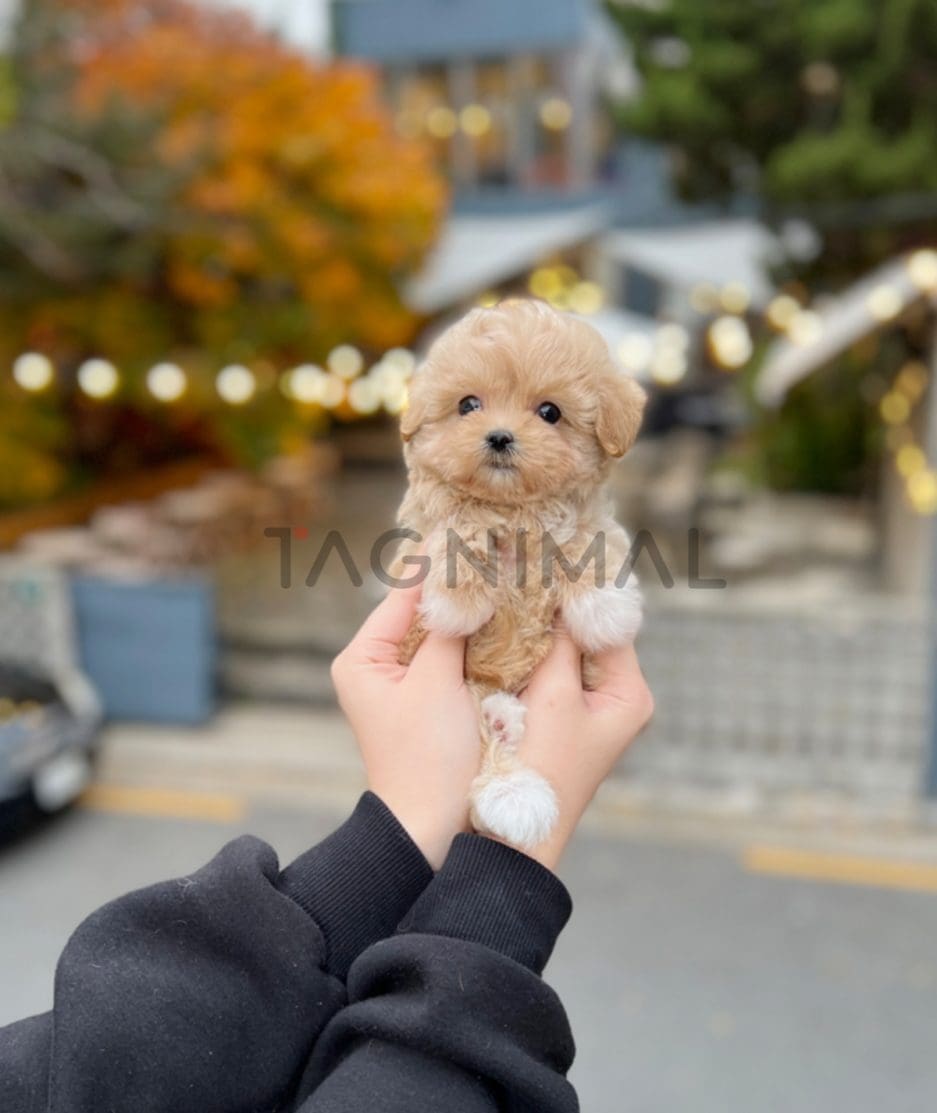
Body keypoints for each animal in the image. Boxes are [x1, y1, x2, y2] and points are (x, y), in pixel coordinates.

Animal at [391, 300, 640, 845]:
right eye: (468, 405)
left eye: (550, 412)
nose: (500, 437)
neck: (514, 510)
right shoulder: (430, 528)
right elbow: (456, 527)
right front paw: (459, 600)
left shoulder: (585, 520)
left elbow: (589, 538)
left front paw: (606, 607)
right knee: (486, 744)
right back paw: (511, 784)